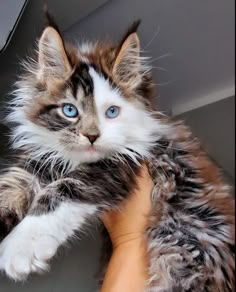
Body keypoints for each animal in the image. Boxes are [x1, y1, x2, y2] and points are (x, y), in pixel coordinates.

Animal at [0, 18, 233, 292]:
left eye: (112, 112)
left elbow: (63, 189)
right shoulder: (42, 158)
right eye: (70, 110)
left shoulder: (122, 163)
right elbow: (12, 184)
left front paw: (22, 244)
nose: (92, 136)